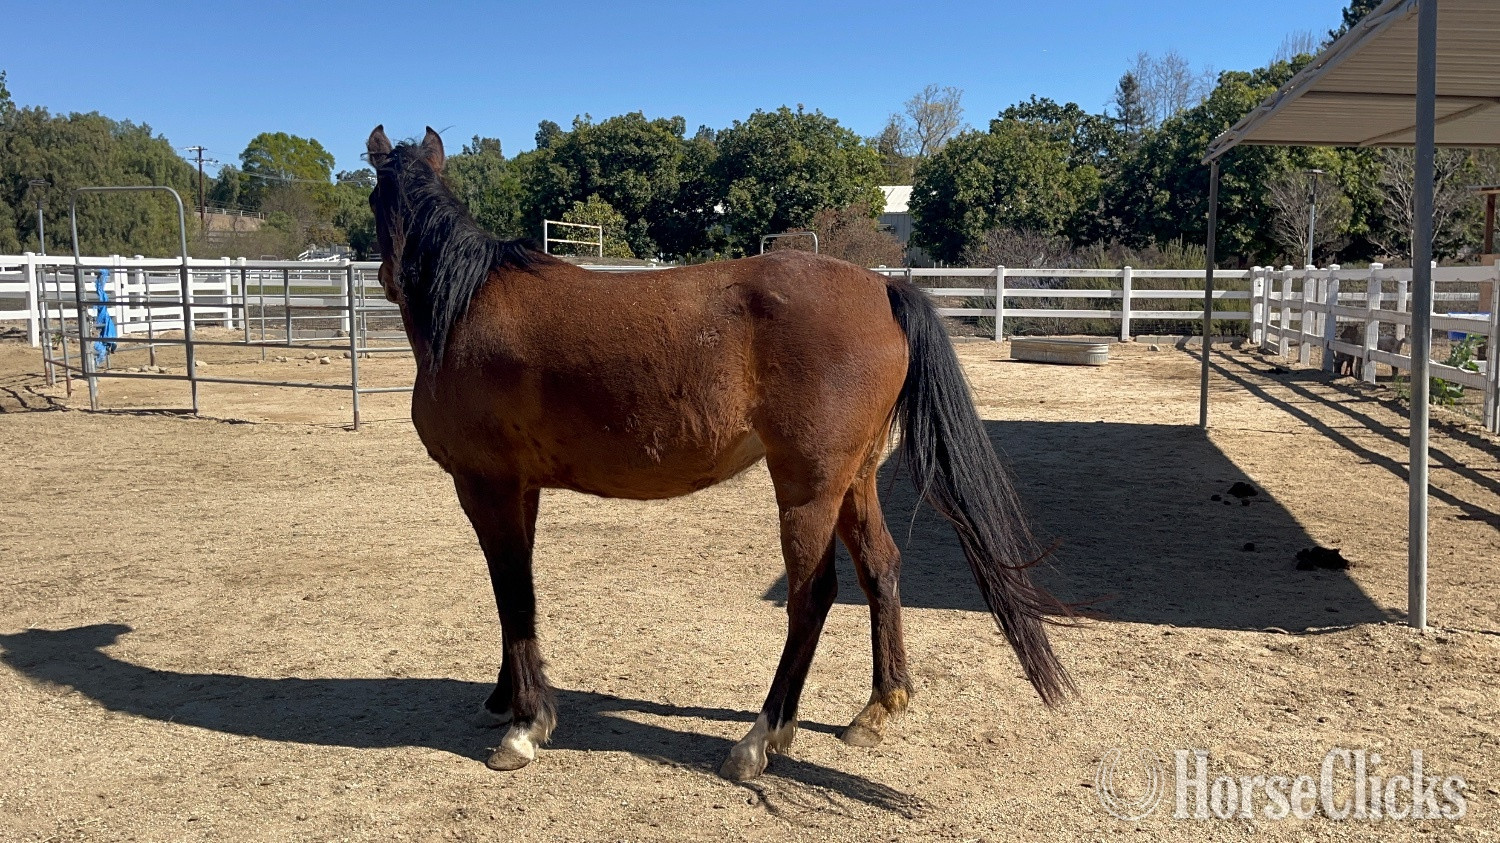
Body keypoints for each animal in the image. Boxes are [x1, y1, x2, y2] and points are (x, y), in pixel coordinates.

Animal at [364, 126, 1073, 781]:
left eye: (371, 197)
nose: (386, 278)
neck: (464, 308)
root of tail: (882, 290)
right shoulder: (521, 489)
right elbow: (518, 590)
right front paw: (507, 697)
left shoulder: (486, 485)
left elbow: (512, 593)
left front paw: (525, 725)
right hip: (853, 481)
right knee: (881, 568)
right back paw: (876, 708)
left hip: (808, 488)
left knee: (813, 596)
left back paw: (760, 740)